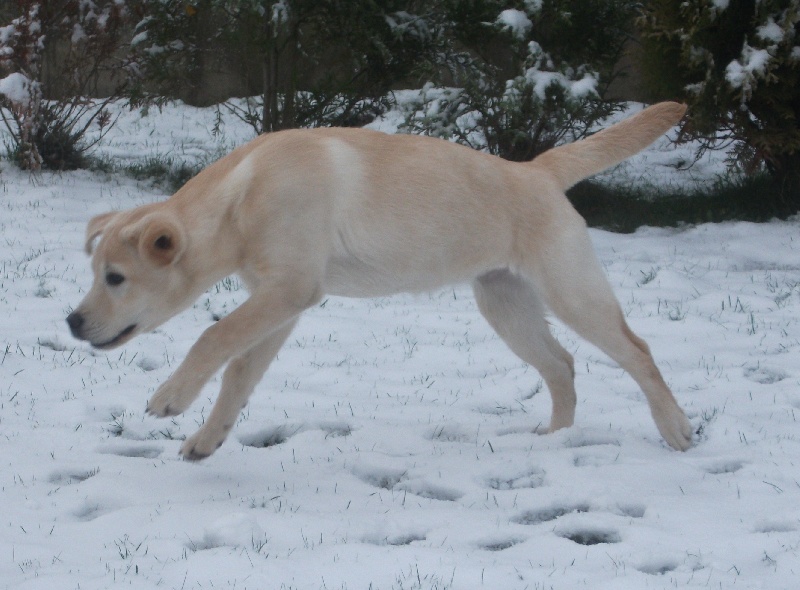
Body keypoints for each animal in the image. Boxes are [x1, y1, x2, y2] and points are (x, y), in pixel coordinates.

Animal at [67, 102, 692, 462]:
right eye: (95, 273)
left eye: (116, 278)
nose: (72, 322)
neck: (241, 197)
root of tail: (536, 171)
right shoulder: (279, 304)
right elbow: (239, 373)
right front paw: (208, 439)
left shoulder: (290, 292)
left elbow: (212, 337)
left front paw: (170, 397)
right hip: (505, 305)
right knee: (561, 364)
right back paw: (556, 438)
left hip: (571, 292)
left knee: (638, 351)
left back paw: (676, 429)